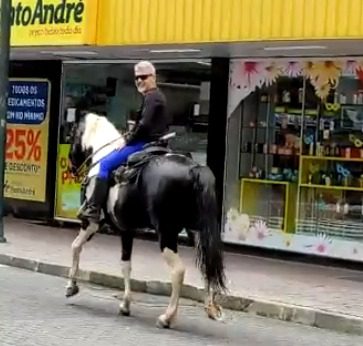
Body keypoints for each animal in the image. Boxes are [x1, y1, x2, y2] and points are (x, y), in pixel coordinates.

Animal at [66, 113, 226, 328]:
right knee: (206, 265)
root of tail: (195, 168)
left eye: (71, 135)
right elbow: (126, 264)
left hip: (167, 233)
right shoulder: (127, 230)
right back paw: (211, 309)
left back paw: (167, 317)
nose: (72, 166)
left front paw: (71, 286)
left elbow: (76, 246)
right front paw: (125, 304)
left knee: (178, 271)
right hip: (198, 233)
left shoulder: (92, 223)